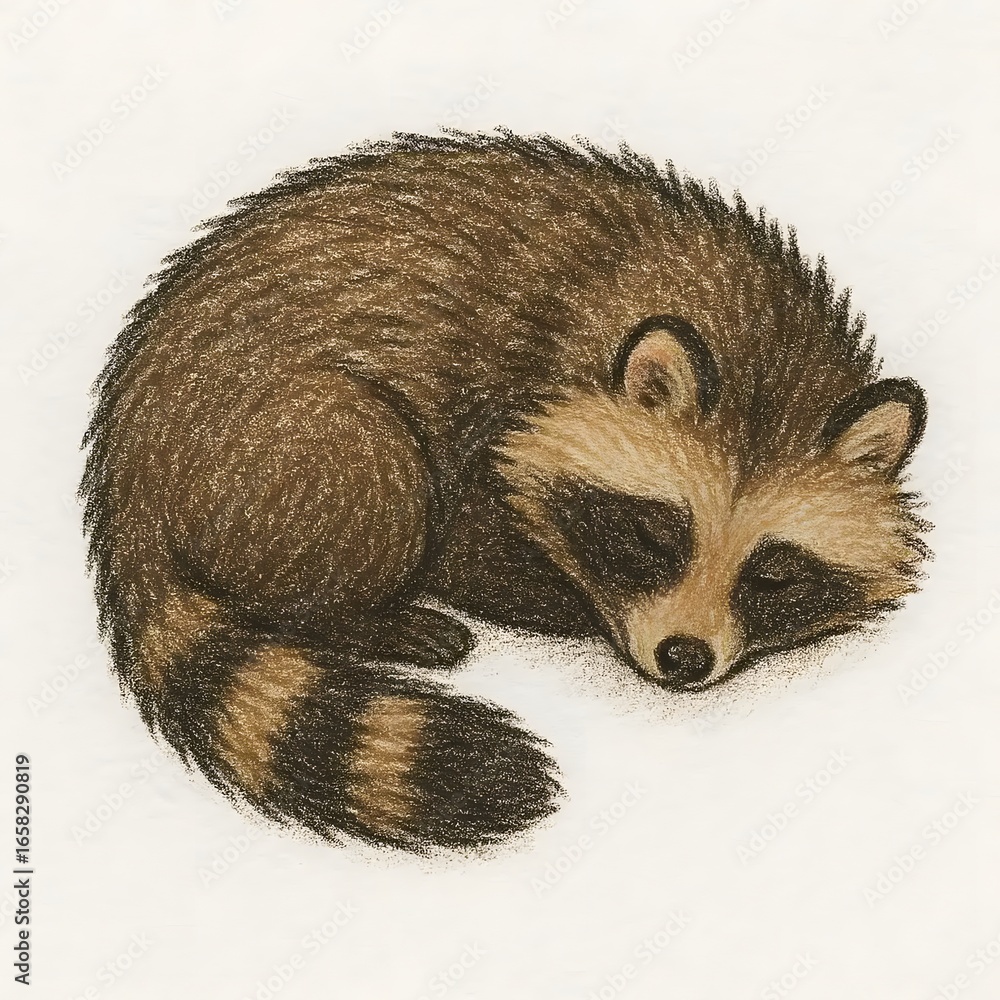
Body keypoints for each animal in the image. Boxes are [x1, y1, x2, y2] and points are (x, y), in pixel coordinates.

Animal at [80, 131, 929, 852]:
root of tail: (128, 453)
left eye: (775, 572)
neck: (767, 354)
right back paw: (365, 618)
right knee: (367, 459)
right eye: (655, 534)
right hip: (277, 452)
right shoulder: (498, 399)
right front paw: (567, 602)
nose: (684, 658)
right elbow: (469, 541)